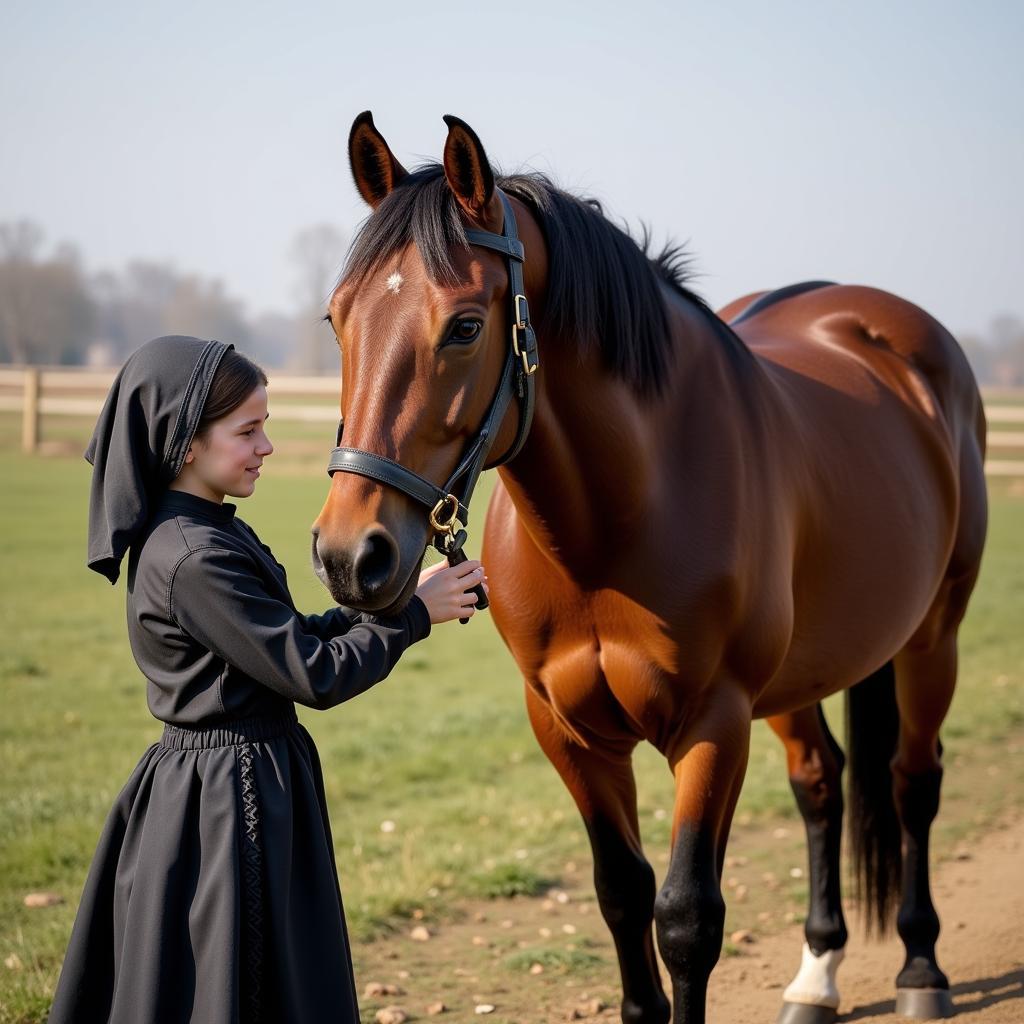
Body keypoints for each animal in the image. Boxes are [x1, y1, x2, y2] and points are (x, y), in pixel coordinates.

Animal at [311, 112, 983, 1024]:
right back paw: (817, 975)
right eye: (336, 320)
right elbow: (622, 894)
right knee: (821, 784)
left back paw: (920, 967)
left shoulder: (713, 723)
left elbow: (687, 917)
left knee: (914, 781)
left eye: (464, 326)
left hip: (931, 638)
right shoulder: (568, 730)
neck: (616, 523)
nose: (350, 556)